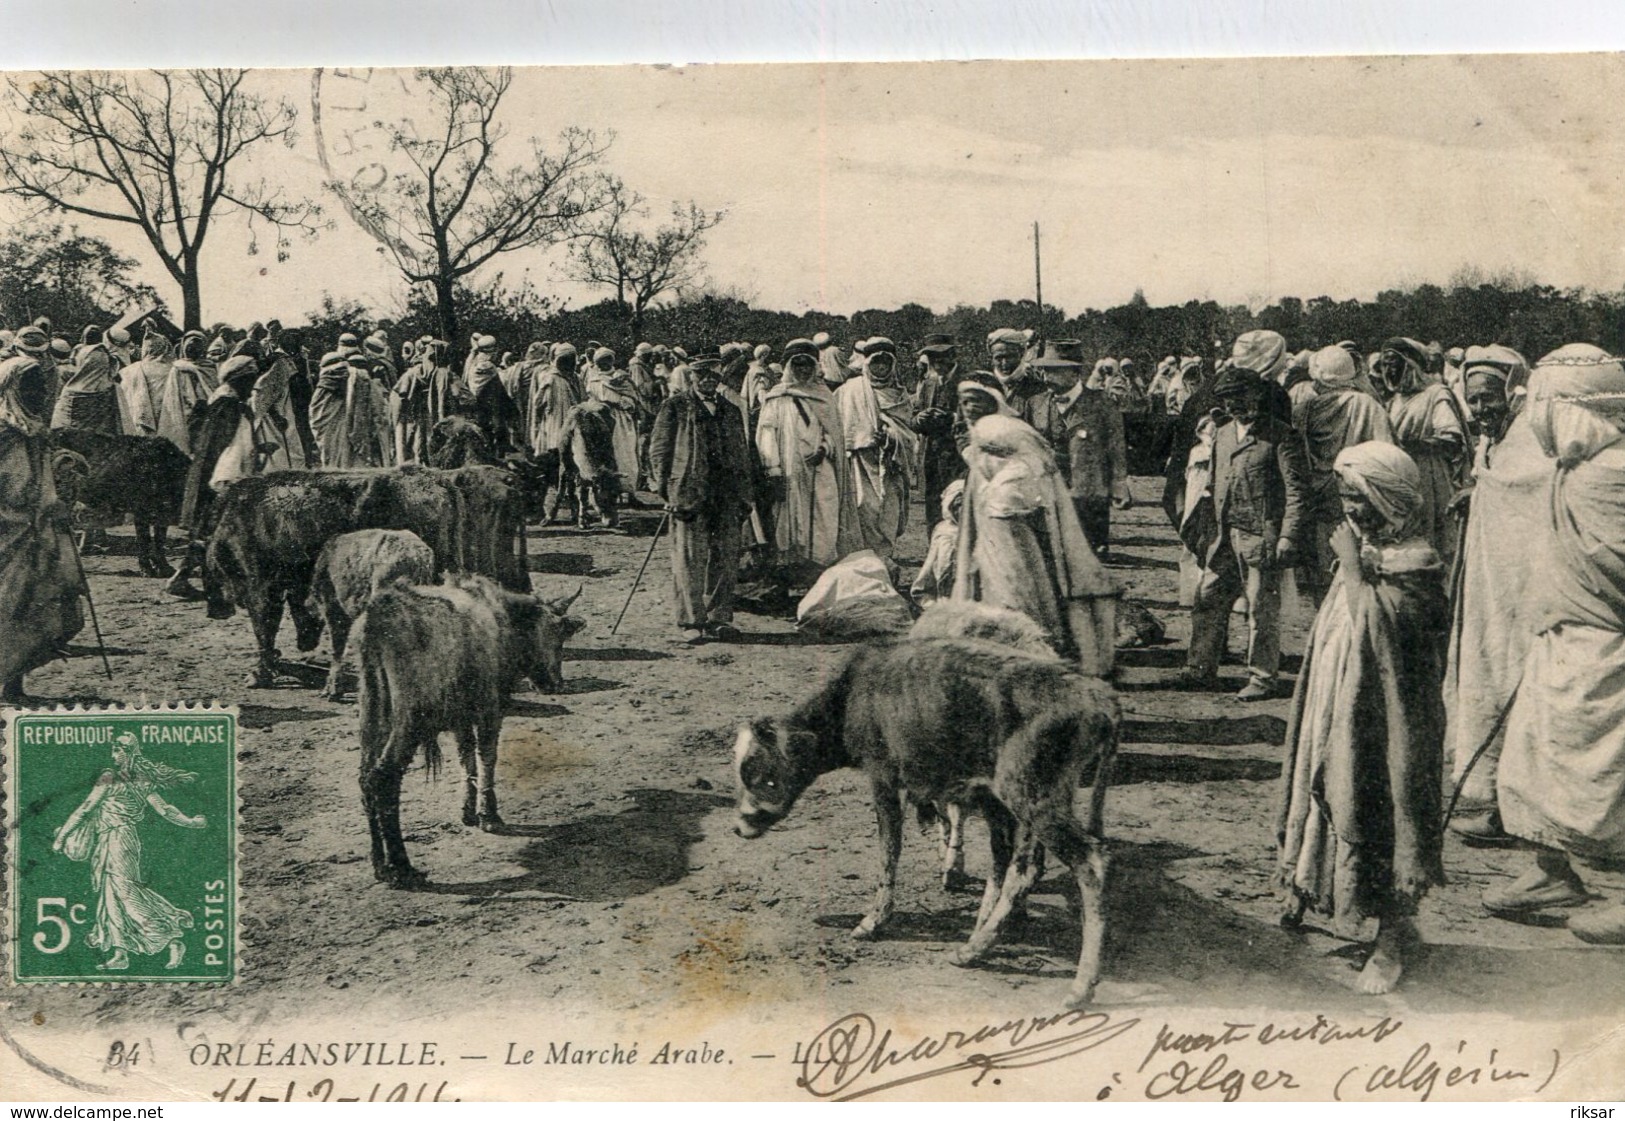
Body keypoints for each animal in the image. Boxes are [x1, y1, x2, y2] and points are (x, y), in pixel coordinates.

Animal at [354, 575, 585, 883]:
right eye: (558, 634)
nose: (555, 684)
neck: (500, 616)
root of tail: (377, 615)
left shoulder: (461, 717)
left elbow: (467, 758)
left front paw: (468, 811)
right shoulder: (491, 706)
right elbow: (487, 756)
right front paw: (489, 815)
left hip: (372, 714)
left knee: (366, 778)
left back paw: (379, 863)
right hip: (409, 720)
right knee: (384, 777)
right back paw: (402, 866)